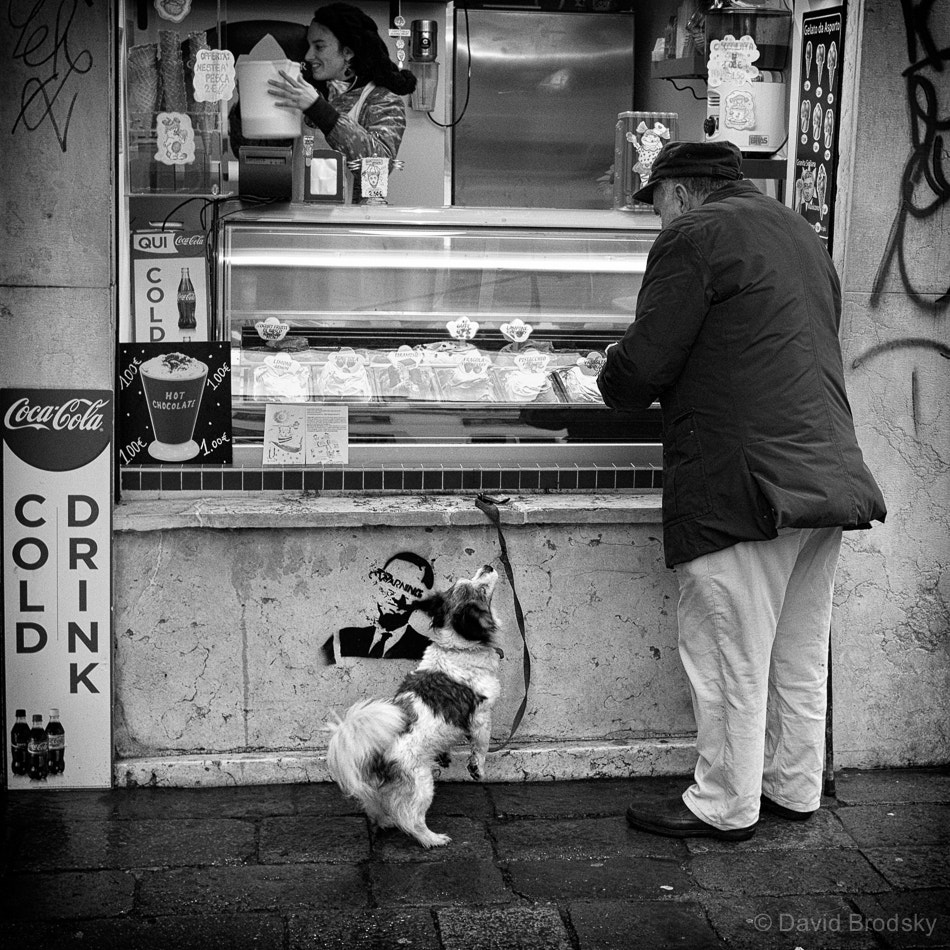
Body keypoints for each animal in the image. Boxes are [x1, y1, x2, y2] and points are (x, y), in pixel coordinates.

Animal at [326, 564, 506, 848]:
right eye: (481, 589)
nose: (487, 566)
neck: (457, 647)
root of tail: (373, 753)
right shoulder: (481, 716)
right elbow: (481, 746)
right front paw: (477, 768)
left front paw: (445, 756)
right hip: (421, 783)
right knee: (411, 820)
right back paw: (432, 838)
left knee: (379, 809)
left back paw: (387, 822)